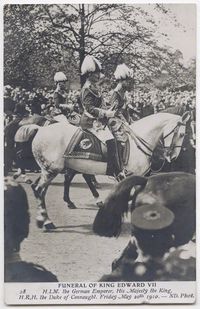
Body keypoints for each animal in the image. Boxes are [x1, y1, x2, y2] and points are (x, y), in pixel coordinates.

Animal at [30, 110, 189, 229]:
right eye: (182, 134)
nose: (173, 157)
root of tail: (40, 129)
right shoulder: (130, 175)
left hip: (55, 168)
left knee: (45, 186)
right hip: (52, 169)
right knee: (40, 190)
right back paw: (47, 222)